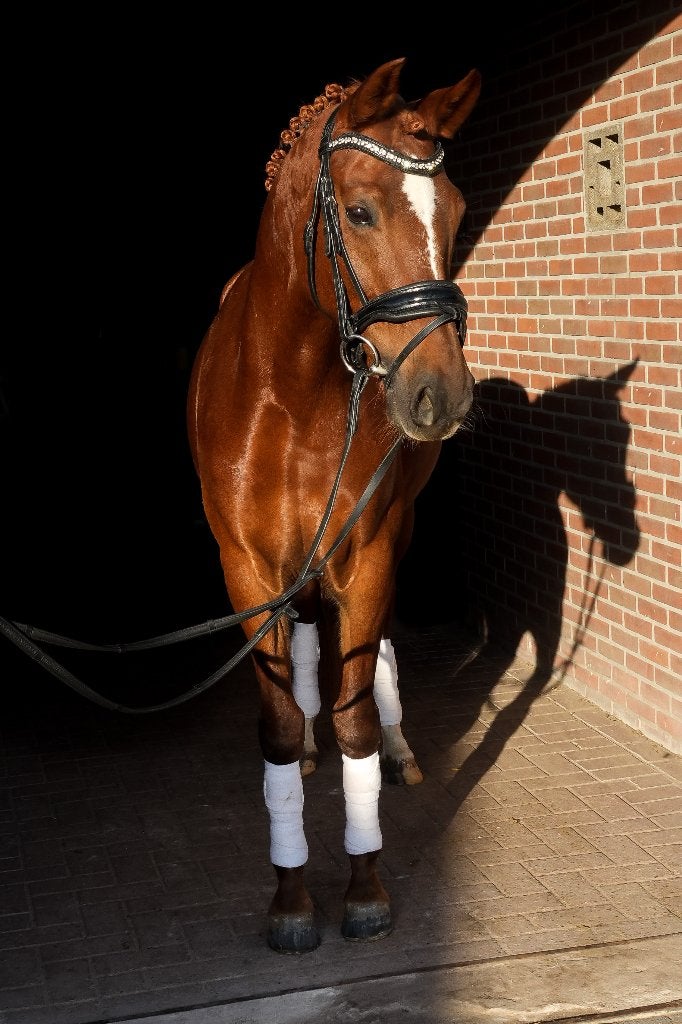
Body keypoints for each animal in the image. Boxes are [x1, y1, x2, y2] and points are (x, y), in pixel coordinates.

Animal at [187, 57, 482, 953]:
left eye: (456, 211)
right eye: (358, 211)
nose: (441, 394)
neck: (290, 391)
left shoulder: (368, 552)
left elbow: (353, 712)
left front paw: (363, 889)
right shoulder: (249, 572)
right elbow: (281, 729)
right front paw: (290, 900)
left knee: (374, 656)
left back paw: (400, 748)